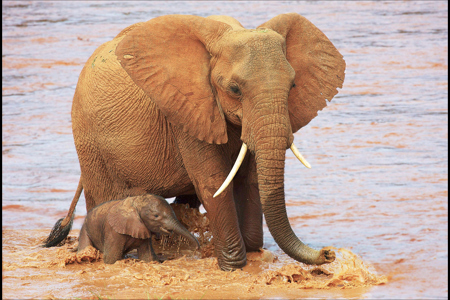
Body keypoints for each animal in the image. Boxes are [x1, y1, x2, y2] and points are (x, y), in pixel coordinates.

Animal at [44, 13, 344, 272]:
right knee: (103, 198)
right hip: (88, 139)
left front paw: (254, 252)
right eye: (234, 89)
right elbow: (212, 182)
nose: (328, 253)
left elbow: (249, 178)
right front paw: (233, 267)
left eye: (292, 86)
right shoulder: (185, 109)